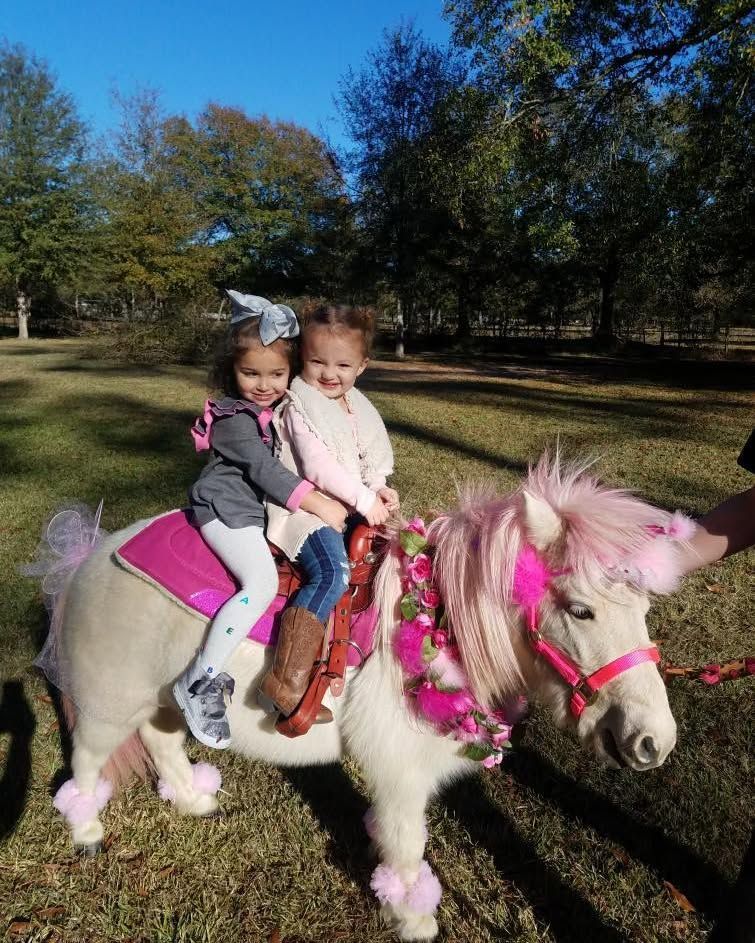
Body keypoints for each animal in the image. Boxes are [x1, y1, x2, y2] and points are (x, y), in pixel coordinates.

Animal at [31, 455, 688, 942]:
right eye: (581, 610)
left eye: (644, 607)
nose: (653, 741)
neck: (438, 622)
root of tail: (87, 556)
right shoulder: (401, 773)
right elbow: (408, 847)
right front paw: (413, 916)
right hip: (107, 704)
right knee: (87, 762)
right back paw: (87, 831)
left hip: (163, 695)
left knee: (162, 739)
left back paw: (194, 799)